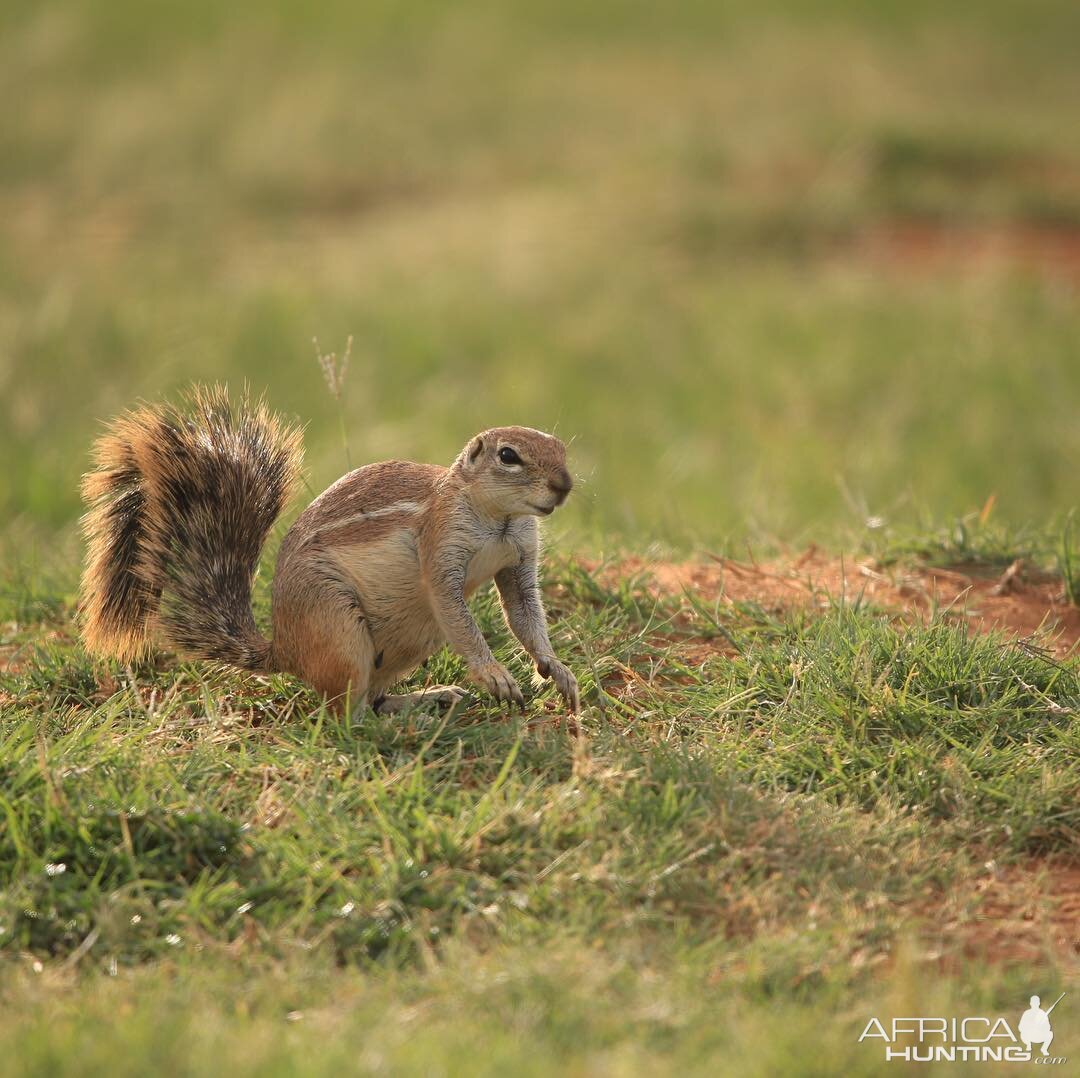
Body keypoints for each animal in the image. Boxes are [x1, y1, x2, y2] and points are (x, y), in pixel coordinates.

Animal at [78, 388, 578, 717]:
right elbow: (459, 617)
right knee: (345, 718)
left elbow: (524, 615)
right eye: (508, 456)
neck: (500, 519)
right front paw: (495, 675)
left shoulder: (520, 560)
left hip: (411, 640)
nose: (565, 485)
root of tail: (284, 650)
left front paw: (556, 670)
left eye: (560, 448)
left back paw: (428, 699)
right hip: (338, 627)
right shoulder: (440, 546)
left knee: (373, 700)